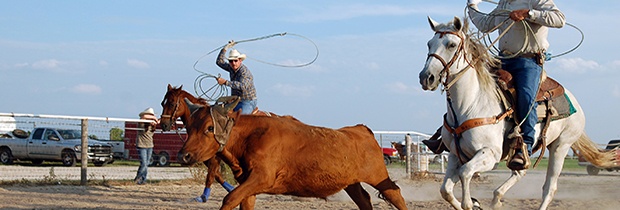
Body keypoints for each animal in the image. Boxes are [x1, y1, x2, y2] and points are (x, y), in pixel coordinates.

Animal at [178, 98, 412, 210]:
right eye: (188, 126)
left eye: (209, 128)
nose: (184, 155)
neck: (250, 136)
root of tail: (361, 129)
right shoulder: (249, 185)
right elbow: (240, 201)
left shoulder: (262, 177)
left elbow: (229, 198)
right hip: (350, 182)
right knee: (364, 200)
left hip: (378, 176)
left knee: (396, 196)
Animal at [418, 16, 616, 210]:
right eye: (429, 44)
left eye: (451, 45)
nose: (426, 77)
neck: (471, 104)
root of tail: (574, 102)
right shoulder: (454, 155)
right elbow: (446, 190)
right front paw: (474, 202)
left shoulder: (490, 154)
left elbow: (465, 173)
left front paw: (471, 202)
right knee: (520, 171)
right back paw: (497, 198)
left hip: (561, 146)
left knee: (549, 188)